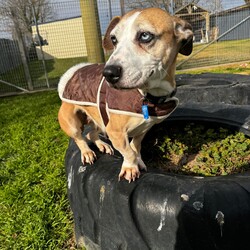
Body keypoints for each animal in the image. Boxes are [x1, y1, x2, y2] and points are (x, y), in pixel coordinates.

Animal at [57, 7, 192, 183]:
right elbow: (128, 152)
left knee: (91, 133)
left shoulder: (142, 130)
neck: (147, 96)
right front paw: (130, 167)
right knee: (80, 138)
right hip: (72, 123)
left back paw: (102, 145)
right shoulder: (115, 132)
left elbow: (135, 146)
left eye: (145, 36)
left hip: (98, 121)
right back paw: (87, 152)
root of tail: (72, 73)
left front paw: (138, 161)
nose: (108, 73)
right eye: (114, 39)